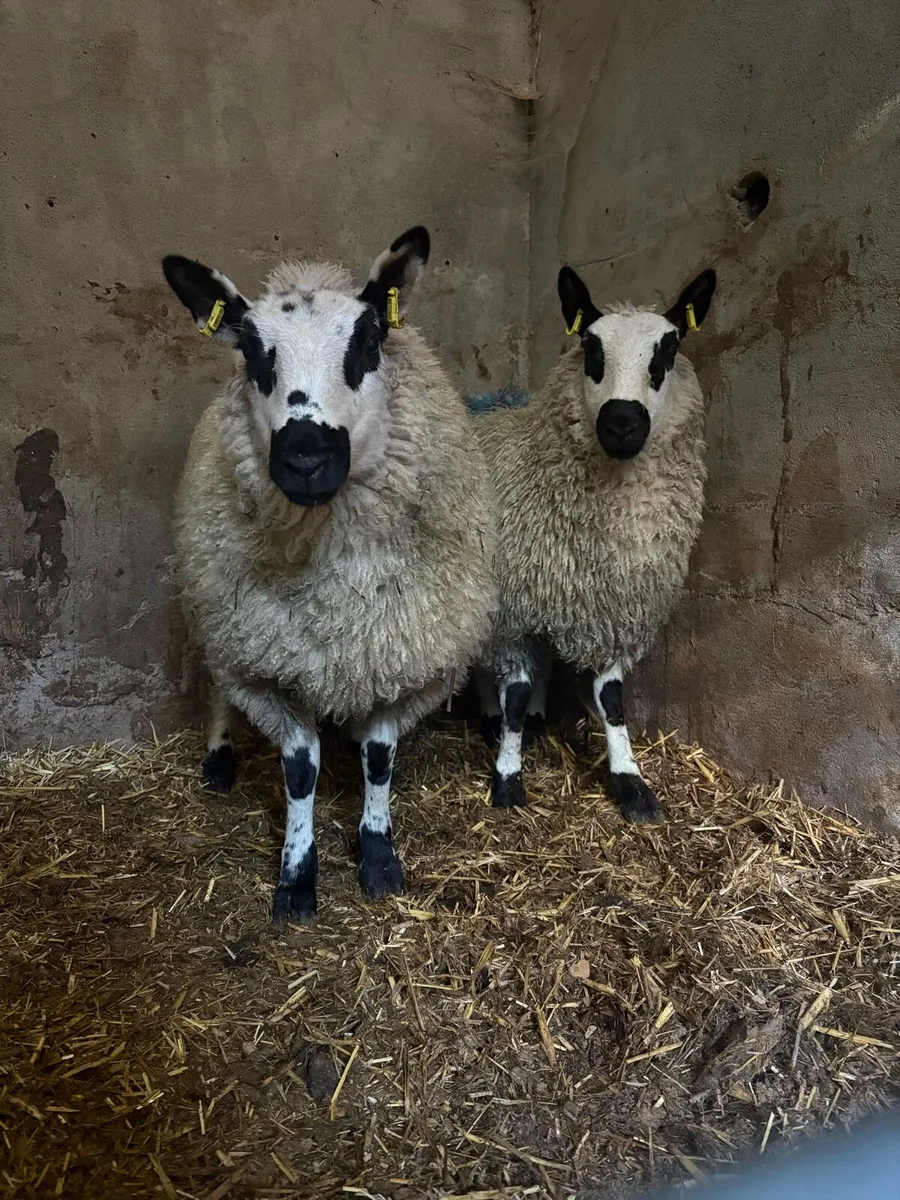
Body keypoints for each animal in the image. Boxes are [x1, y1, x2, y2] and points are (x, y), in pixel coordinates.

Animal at [161, 226, 497, 924]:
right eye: (252, 352)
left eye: (369, 340)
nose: (305, 457)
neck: (336, 589)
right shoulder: (264, 667)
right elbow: (300, 771)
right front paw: (295, 878)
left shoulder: (403, 658)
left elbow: (378, 759)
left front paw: (378, 856)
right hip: (218, 617)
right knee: (214, 685)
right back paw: (219, 758)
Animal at [472, 263, 717, 822]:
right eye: (590, 347)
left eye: (669, 349)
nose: (621, 423)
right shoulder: (514, 606)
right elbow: (514, 693)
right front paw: (508, 778)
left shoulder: (613, 603)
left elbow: (612, 699)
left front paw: (630, 782)